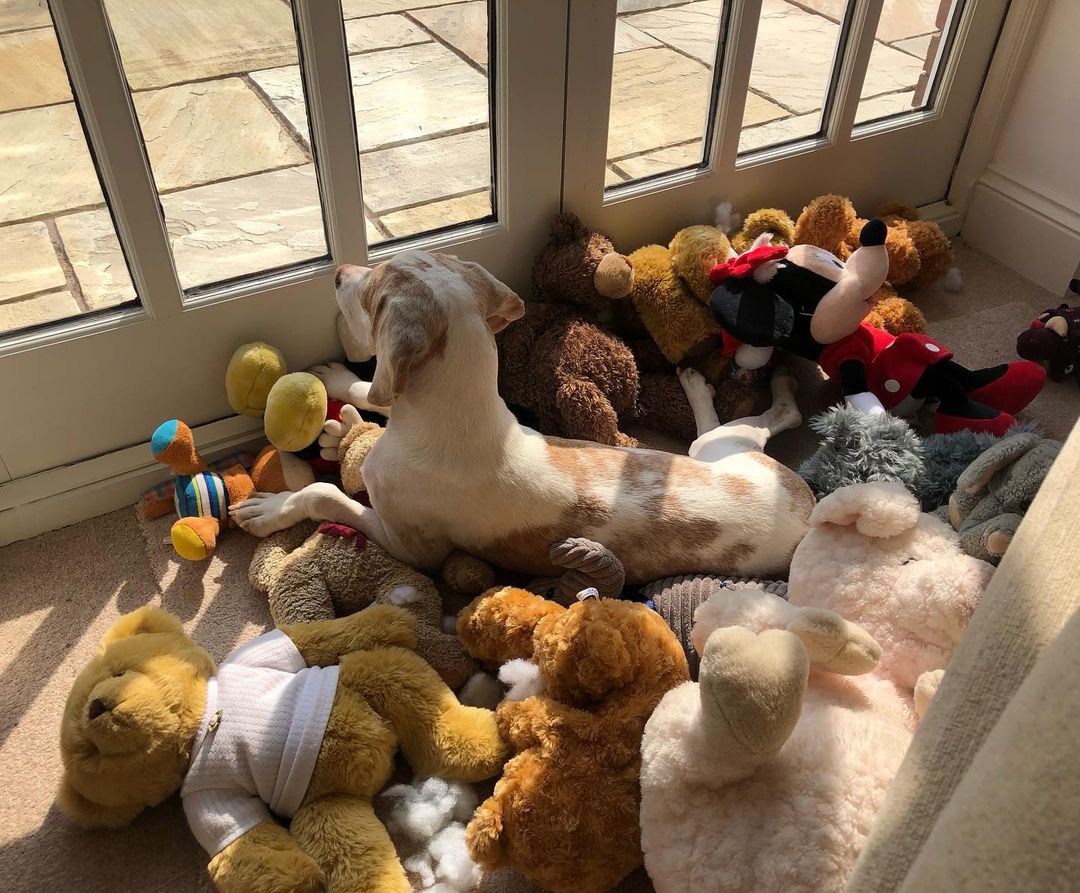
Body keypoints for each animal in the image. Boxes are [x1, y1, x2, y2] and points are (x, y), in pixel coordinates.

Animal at [232, 252, 812, 587]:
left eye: (373, 290)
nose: (337, 274)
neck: (457, 418)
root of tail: (806, 509)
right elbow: (371, 393)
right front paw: (334, 381)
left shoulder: (412, 547)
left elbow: (324, 494)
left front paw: (270, 508)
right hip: (725, 451)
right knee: (779, 414)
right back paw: (765, 381)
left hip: (711, 450)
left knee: (758, 417)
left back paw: (706, 383)